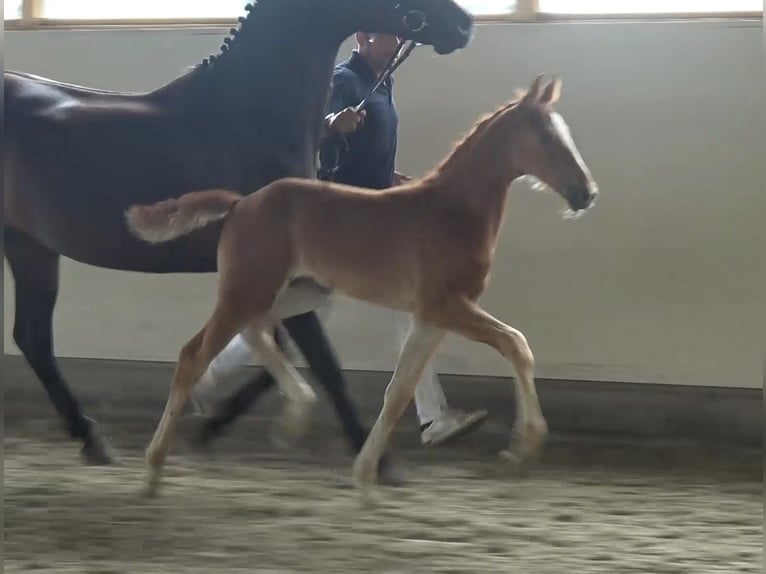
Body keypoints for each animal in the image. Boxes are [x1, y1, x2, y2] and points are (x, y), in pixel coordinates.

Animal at [3, 0, 474, 472]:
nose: (463, 25)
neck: (250, 115)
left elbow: (284, 351)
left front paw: (214, 422)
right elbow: (323, 362)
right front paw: (376, 460)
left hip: (30, 247)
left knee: (33, 338)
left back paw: (92, 438)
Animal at [127, 74, 600, 498]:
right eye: (546, 137)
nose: (587, 193)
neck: (452, 211)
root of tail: (242, 203)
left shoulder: (431, 316)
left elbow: (400, 391)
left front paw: (366, 473)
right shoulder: (447, 305)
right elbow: (517, 345)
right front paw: (525, 447)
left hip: (297, 293)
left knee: (255, 333)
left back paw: (294, 412)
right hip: (248, 291)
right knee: (194, 354)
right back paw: (153, 469)